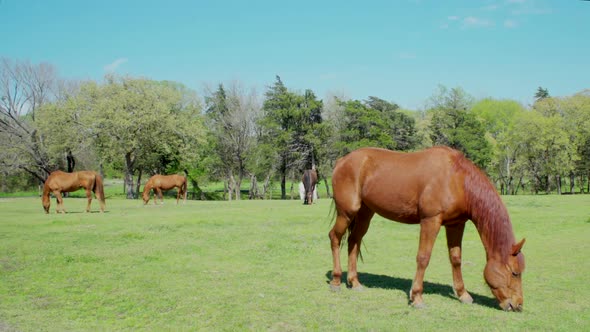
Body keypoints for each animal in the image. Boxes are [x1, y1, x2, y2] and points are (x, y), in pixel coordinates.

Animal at [330, 147, 528, 312]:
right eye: (514, 272)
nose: (518, 305)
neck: (456, 179)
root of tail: (342, 161)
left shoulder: (456, 224)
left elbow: (456, 258)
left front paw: (463, 294)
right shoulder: (430, 221)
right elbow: (423, 258)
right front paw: (417, 297)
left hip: (365, 214)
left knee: (354, 241)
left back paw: (354, 282)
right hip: (347, 212)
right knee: (335, 237)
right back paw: (336, 281)